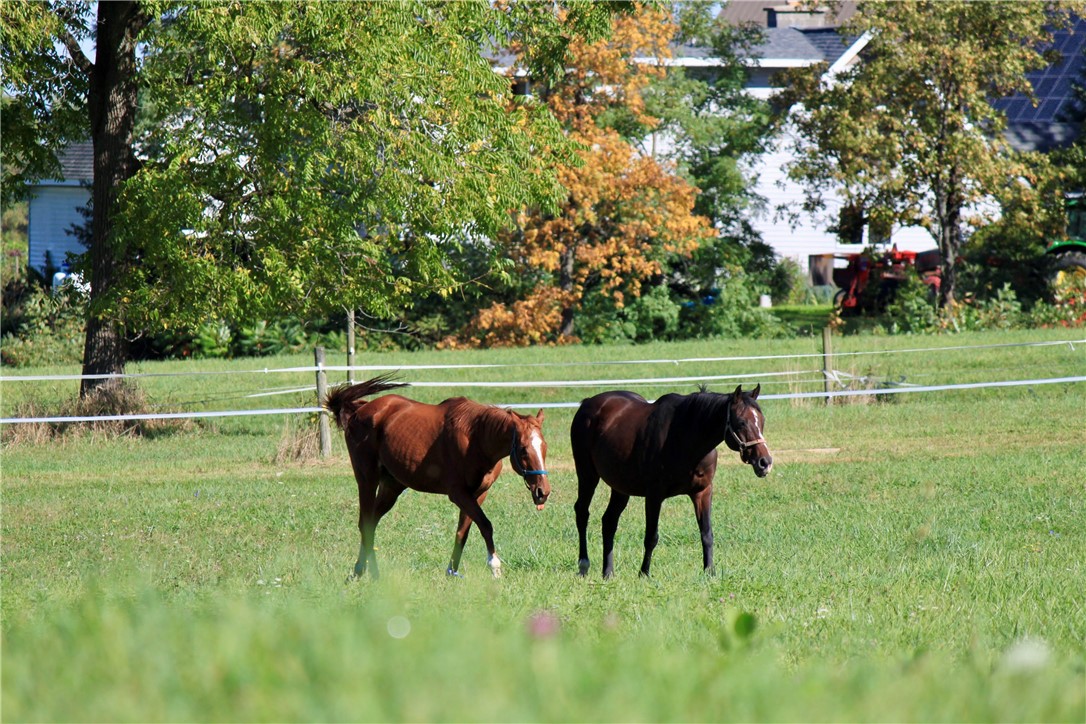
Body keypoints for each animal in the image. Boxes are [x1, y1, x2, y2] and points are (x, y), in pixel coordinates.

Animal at [317, 377, 547, 581]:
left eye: (544, 446)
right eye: (523, 450)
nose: (542, 492)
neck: (476, 437)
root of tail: (359, 412)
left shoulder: (478, 494)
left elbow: (462, 532)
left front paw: (452, 572)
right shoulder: (459, 494)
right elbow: (485, 525)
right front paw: (494, 567)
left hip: (391, 487)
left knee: (371, 523)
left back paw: (362, 572)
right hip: (367, 480)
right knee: (364, 523)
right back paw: (370, 574)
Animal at [569, 384, 773, 577]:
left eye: (762, 421)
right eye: (741, 422)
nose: (765, 462)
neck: (685, 437)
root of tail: (588, 403)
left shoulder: (703, 491)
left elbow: (706, 534)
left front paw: (709, 572)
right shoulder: (654, 496)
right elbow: (651, 537)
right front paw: (644, 573)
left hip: (620, 487)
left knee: (609, 521)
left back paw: (608, 572)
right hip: (587, 474)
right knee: (582, 513)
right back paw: (583, 565)